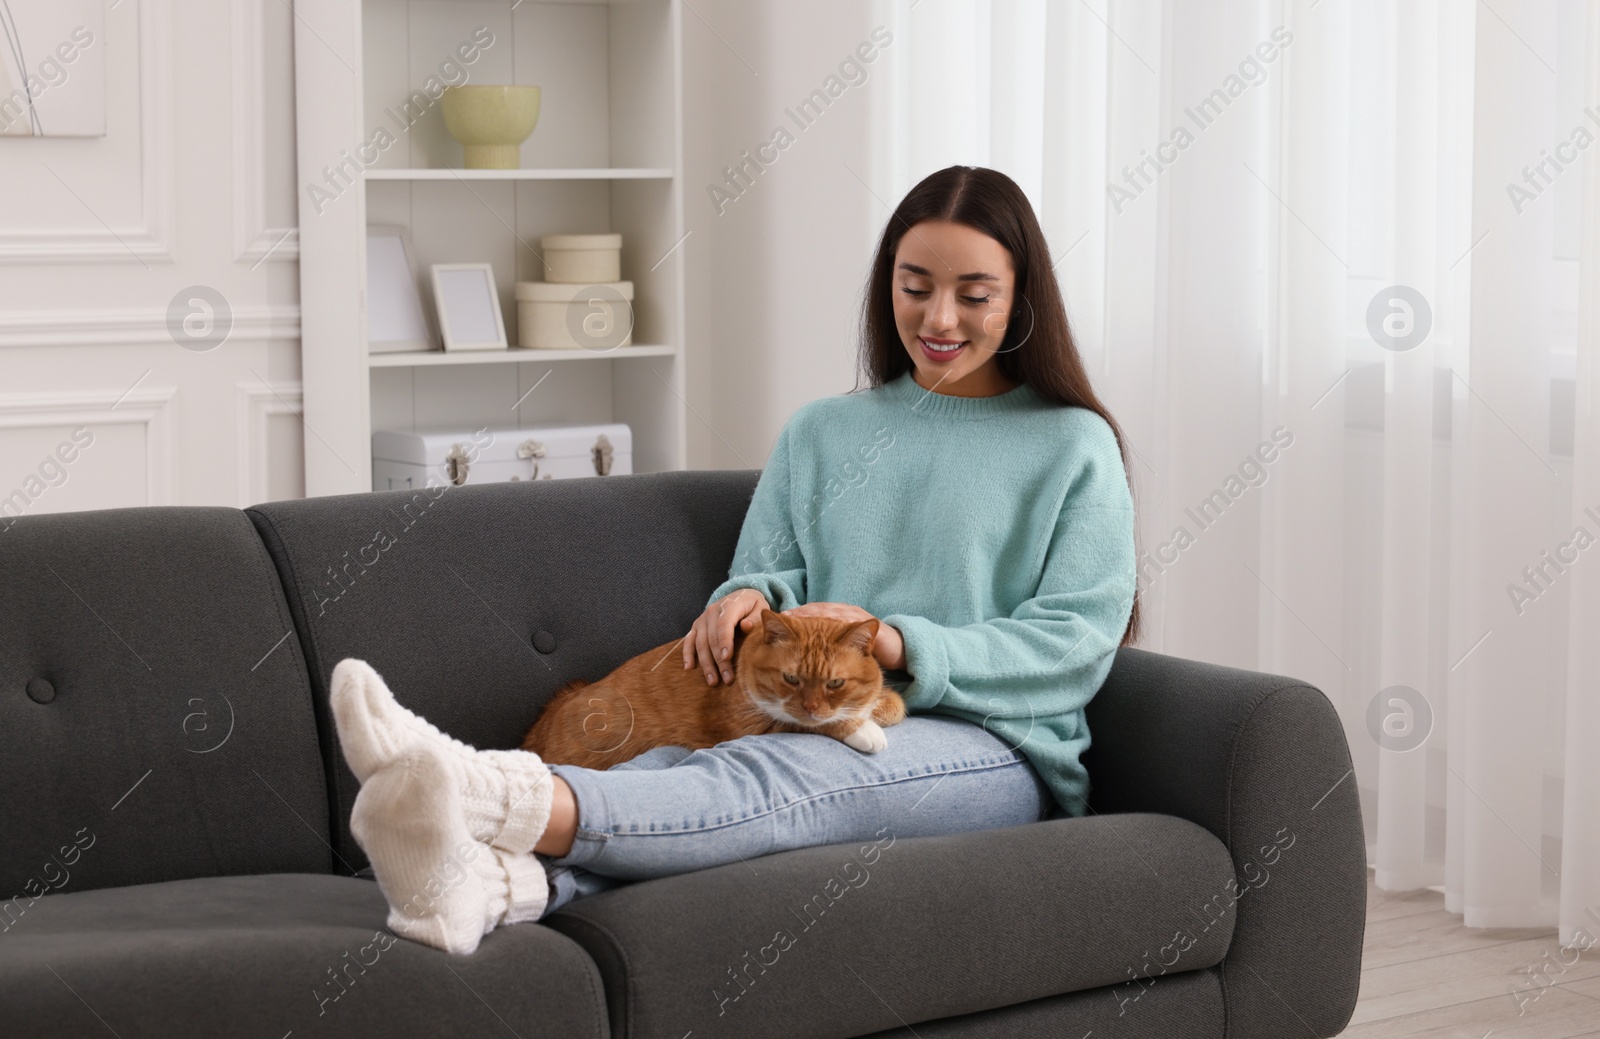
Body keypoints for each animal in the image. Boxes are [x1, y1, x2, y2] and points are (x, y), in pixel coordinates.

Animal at [521, 608, 902, 768]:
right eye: (791, 679)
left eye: (835, 682)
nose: (811, 707)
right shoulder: (747, 727)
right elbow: (807, 724)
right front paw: (863, 729)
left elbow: (892, 705)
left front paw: (875, 708)